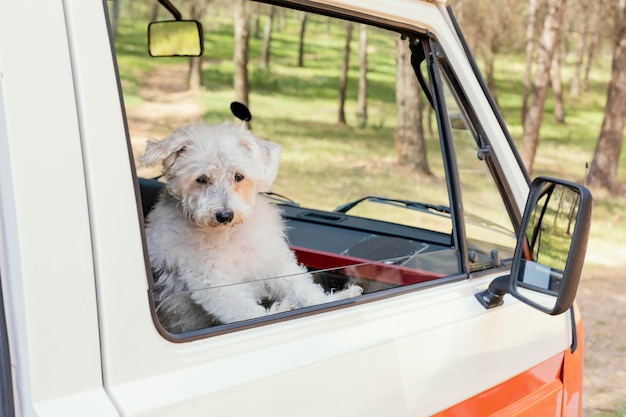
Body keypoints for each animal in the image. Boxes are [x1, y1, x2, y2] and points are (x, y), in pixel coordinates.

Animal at [138, 120, 358, 332]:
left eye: (238, 176)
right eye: (201, 179)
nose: (225, 215)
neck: (228, 234)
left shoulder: (272, 261)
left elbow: (300, 286)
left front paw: (332, 299)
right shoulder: (212, 281)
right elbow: (246, 311)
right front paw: (279, 311)